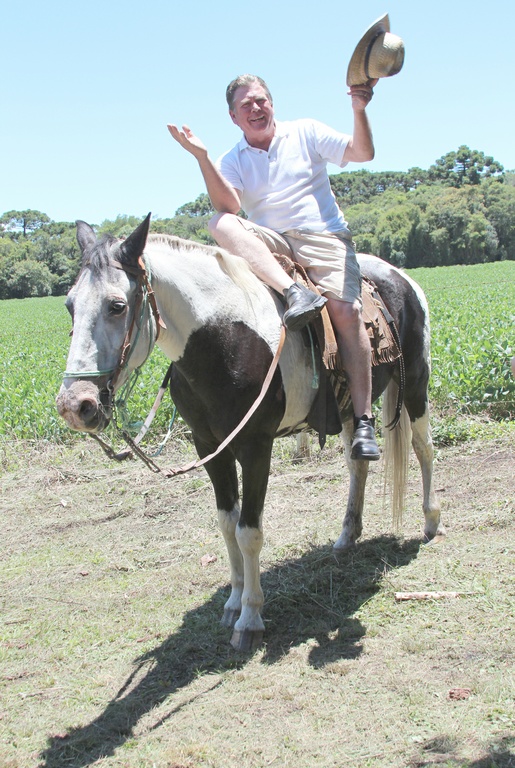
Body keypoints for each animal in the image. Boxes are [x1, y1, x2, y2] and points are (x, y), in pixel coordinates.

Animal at [55, 213, 444, 652]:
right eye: (70, 305)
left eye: (117, 306)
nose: (76, 405)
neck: (223, 335)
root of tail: (400, 277)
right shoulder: (210, 447)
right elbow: (227, 523)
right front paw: (233, 601)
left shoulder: (256, 447)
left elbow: (249, 531)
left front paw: (251, 617)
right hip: (349, 409)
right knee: (356, 464)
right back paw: (347, 535)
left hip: (415, 385)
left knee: (423, 447)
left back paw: (431, 521)